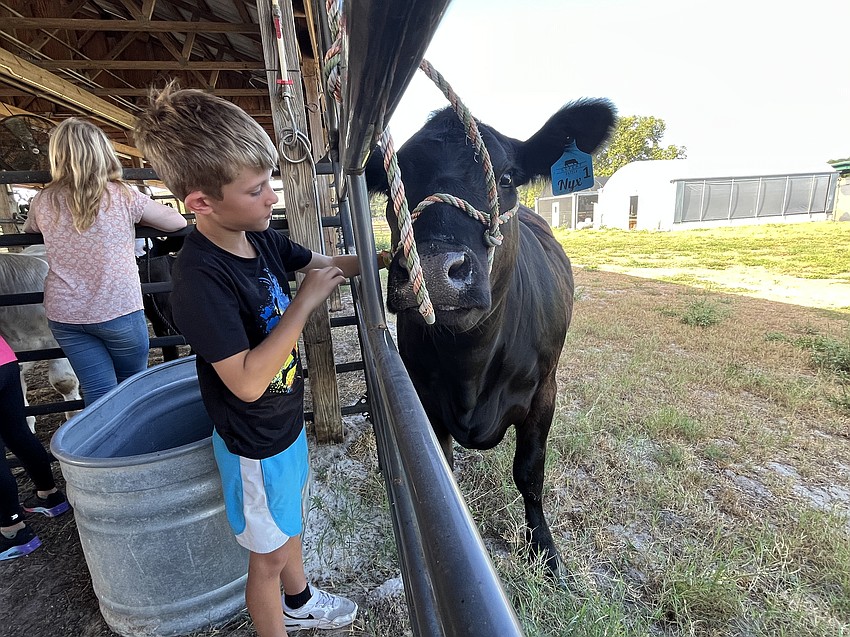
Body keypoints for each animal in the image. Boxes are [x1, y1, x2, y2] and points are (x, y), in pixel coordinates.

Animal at [366, 99, 615, 580]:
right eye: (393, 188)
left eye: (506, 177)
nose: (434, 267)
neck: (472, 365)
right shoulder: (425, 399)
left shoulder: (545, 392)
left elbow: (530, 473)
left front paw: (545, 550)